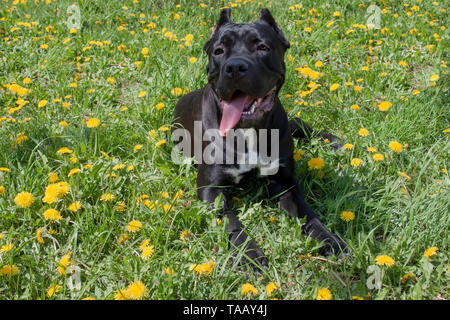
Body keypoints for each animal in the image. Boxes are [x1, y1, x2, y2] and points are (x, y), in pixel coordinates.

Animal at [174, 7, 346, 268]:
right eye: (218, 51)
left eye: (262, 47)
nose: (235, 67)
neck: (247, 131)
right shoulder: (211, 190)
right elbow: (232, 224)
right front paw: (249, 254)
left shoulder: (285, 180)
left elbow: (307, 213)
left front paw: (328, 238)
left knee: (298, 124)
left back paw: (332, 141)